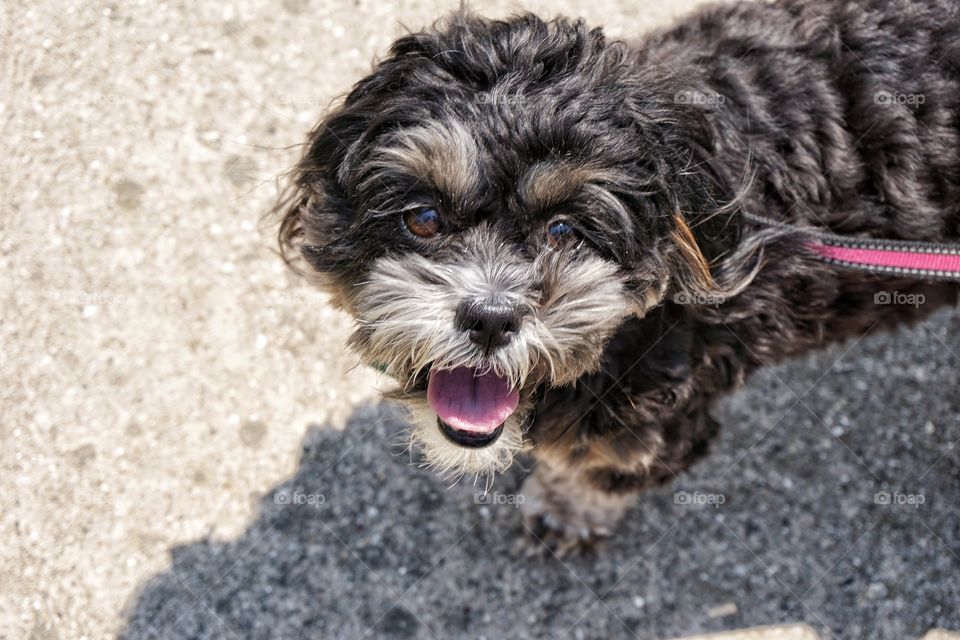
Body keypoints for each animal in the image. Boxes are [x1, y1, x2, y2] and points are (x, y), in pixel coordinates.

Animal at [276, 0, 960, 552]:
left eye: (564, 233)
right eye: (423, 218)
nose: (491, 319)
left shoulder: (658, 409)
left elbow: (604, 469)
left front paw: (564, 510)